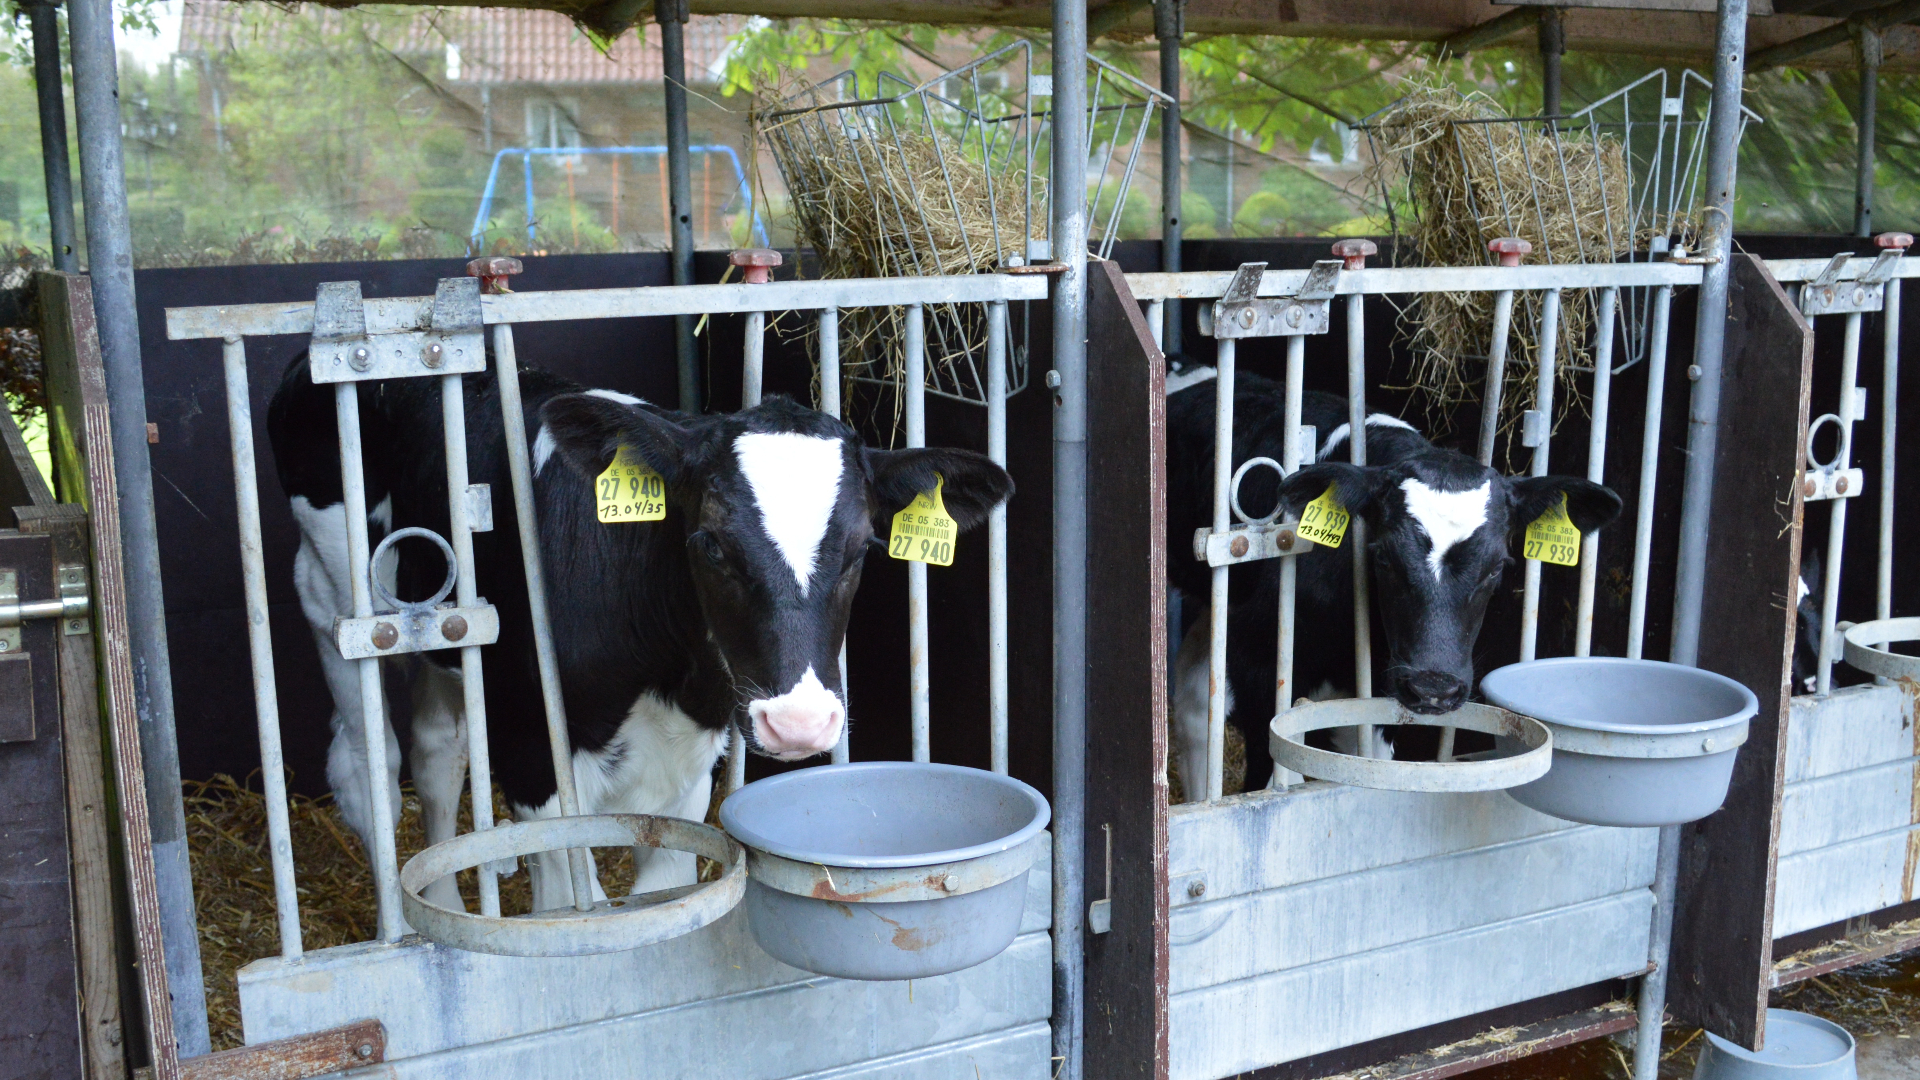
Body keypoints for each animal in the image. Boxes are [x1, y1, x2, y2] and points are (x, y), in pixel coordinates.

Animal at [276, 357, 1021, 903]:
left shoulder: (686, 773)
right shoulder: (534, 759)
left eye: (863, 548)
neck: (659, 672)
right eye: (711, 544)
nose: (799, 722)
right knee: (368, 762)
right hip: (332, 594)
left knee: (438, 752)